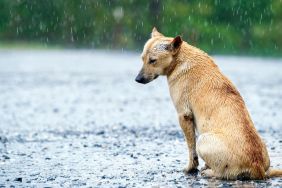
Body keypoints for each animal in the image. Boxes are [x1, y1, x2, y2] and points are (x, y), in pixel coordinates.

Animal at [134, 27, 282, 179]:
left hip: (203, 139)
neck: (180, 59)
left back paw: (208, 172)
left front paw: (190, 168)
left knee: (220, 172)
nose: (137, 79)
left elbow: (191, 149)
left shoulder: (184, 115)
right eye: (142, 59)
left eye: (153, 60)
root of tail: (257, 168)